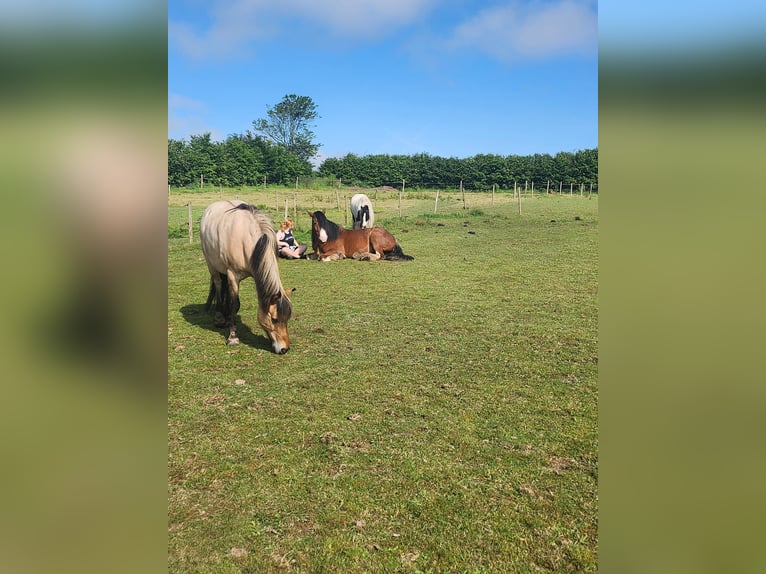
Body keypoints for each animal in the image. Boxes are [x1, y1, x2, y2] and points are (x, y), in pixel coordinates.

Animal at [200, 200, 294, 354]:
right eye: (274, 319)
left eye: (287, 318)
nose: (284, 349)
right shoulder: (233, 275)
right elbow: (235, 304)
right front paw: (233, 337)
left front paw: (230, 321)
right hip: (211, 264)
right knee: (218, 283)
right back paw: (219, 317)